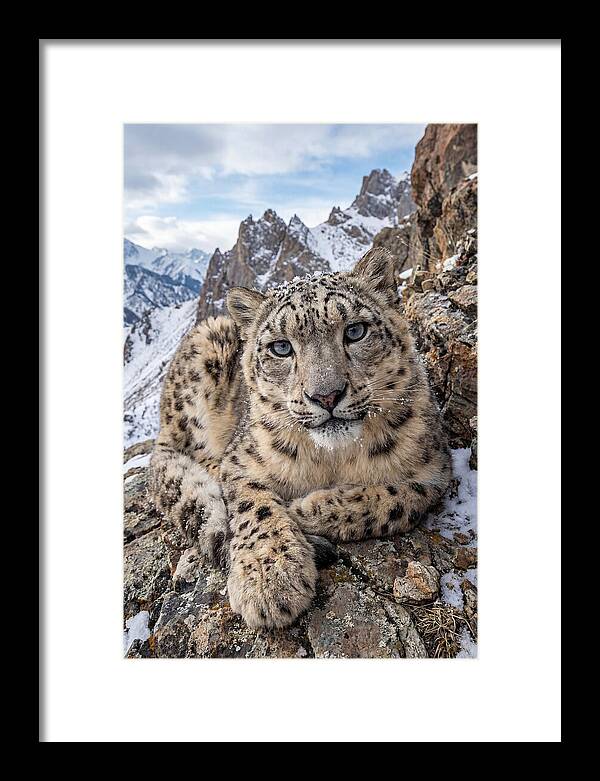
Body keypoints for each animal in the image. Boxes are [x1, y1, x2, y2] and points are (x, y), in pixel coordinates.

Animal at [149, 248, 452, 629]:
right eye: (281, 347)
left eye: (355, 331)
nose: (326, 395)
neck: (333, 459)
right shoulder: (240, 461)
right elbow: (254, 507)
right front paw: (269, 579)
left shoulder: (435, 470)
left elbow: (397, 499)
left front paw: (306, 509)